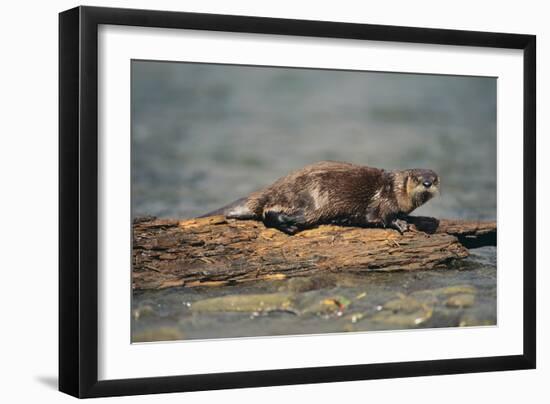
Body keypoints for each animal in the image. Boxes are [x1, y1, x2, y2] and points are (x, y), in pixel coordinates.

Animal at [202, 161, 440, 235]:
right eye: (418, 179)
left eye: (435, 178)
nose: (428, 183)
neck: (394, 189)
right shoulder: (384, 201)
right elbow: (381, 217)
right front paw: (400, 223)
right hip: (309, 202)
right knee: (268, 213)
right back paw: (289, 226)